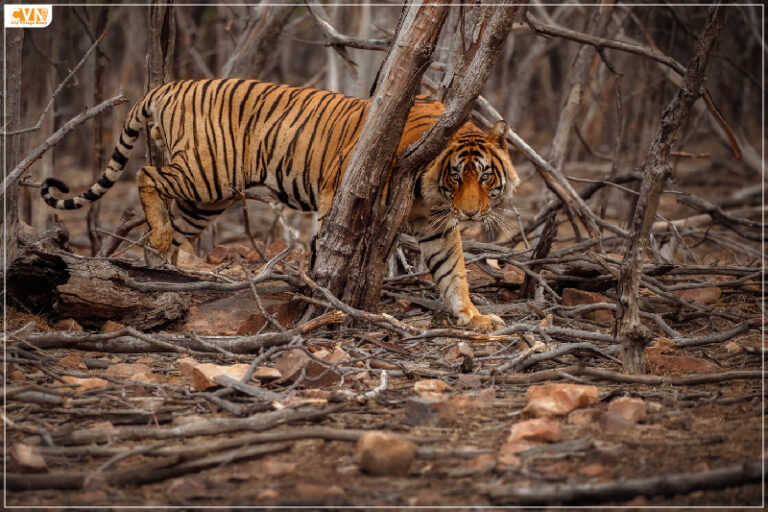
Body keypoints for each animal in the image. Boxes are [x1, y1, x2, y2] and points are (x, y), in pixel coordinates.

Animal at [41, 79, 519, 331]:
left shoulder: (438, 226)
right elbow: (331, 247)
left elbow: (453, 272)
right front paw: (323, 298)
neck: (431, 189)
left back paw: (165, 276)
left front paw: (473, 317)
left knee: (169, 233)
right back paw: (158, 243)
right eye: (457, 175)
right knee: (146, 175)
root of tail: (170, 84)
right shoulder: (340, 192)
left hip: (208, 199)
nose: (471, 213)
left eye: (485, 177)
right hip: (206, 173)